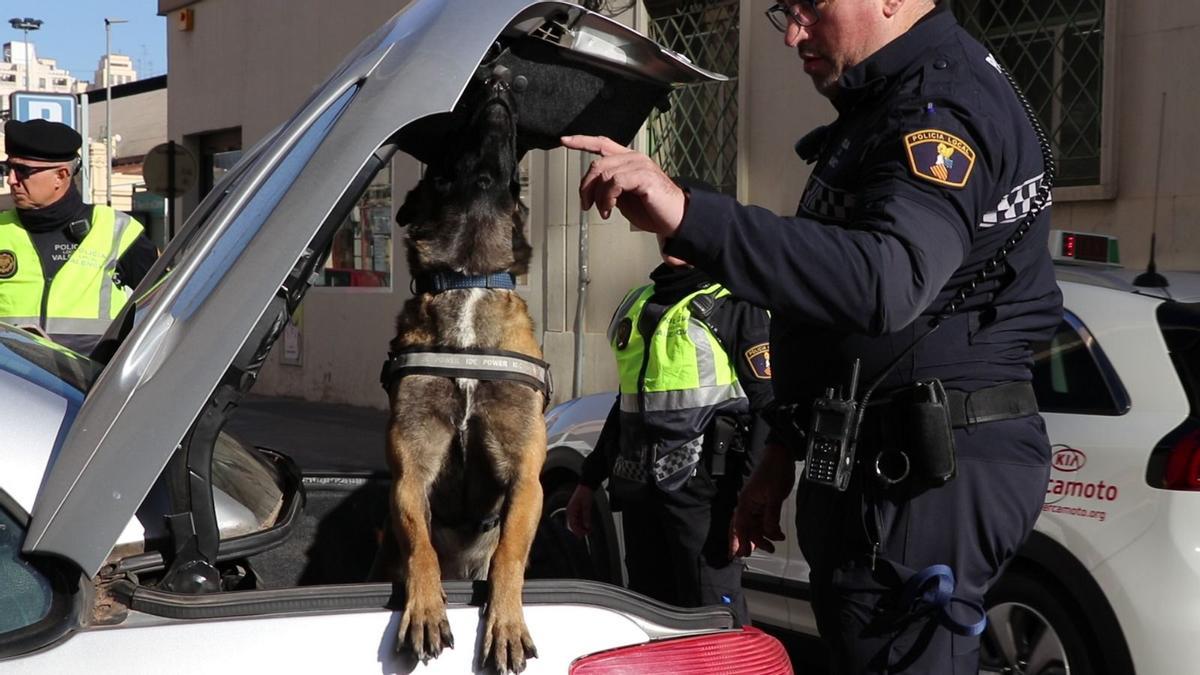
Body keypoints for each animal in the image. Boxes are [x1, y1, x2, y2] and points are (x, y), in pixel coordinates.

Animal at [372, 77, 547, 667]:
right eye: (446, 151)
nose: (498, 80)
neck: (468, 277)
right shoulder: (410, 470)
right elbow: (420, 546)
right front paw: (425, 607)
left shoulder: (525, 475)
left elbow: (509, 552)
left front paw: (506, 622)